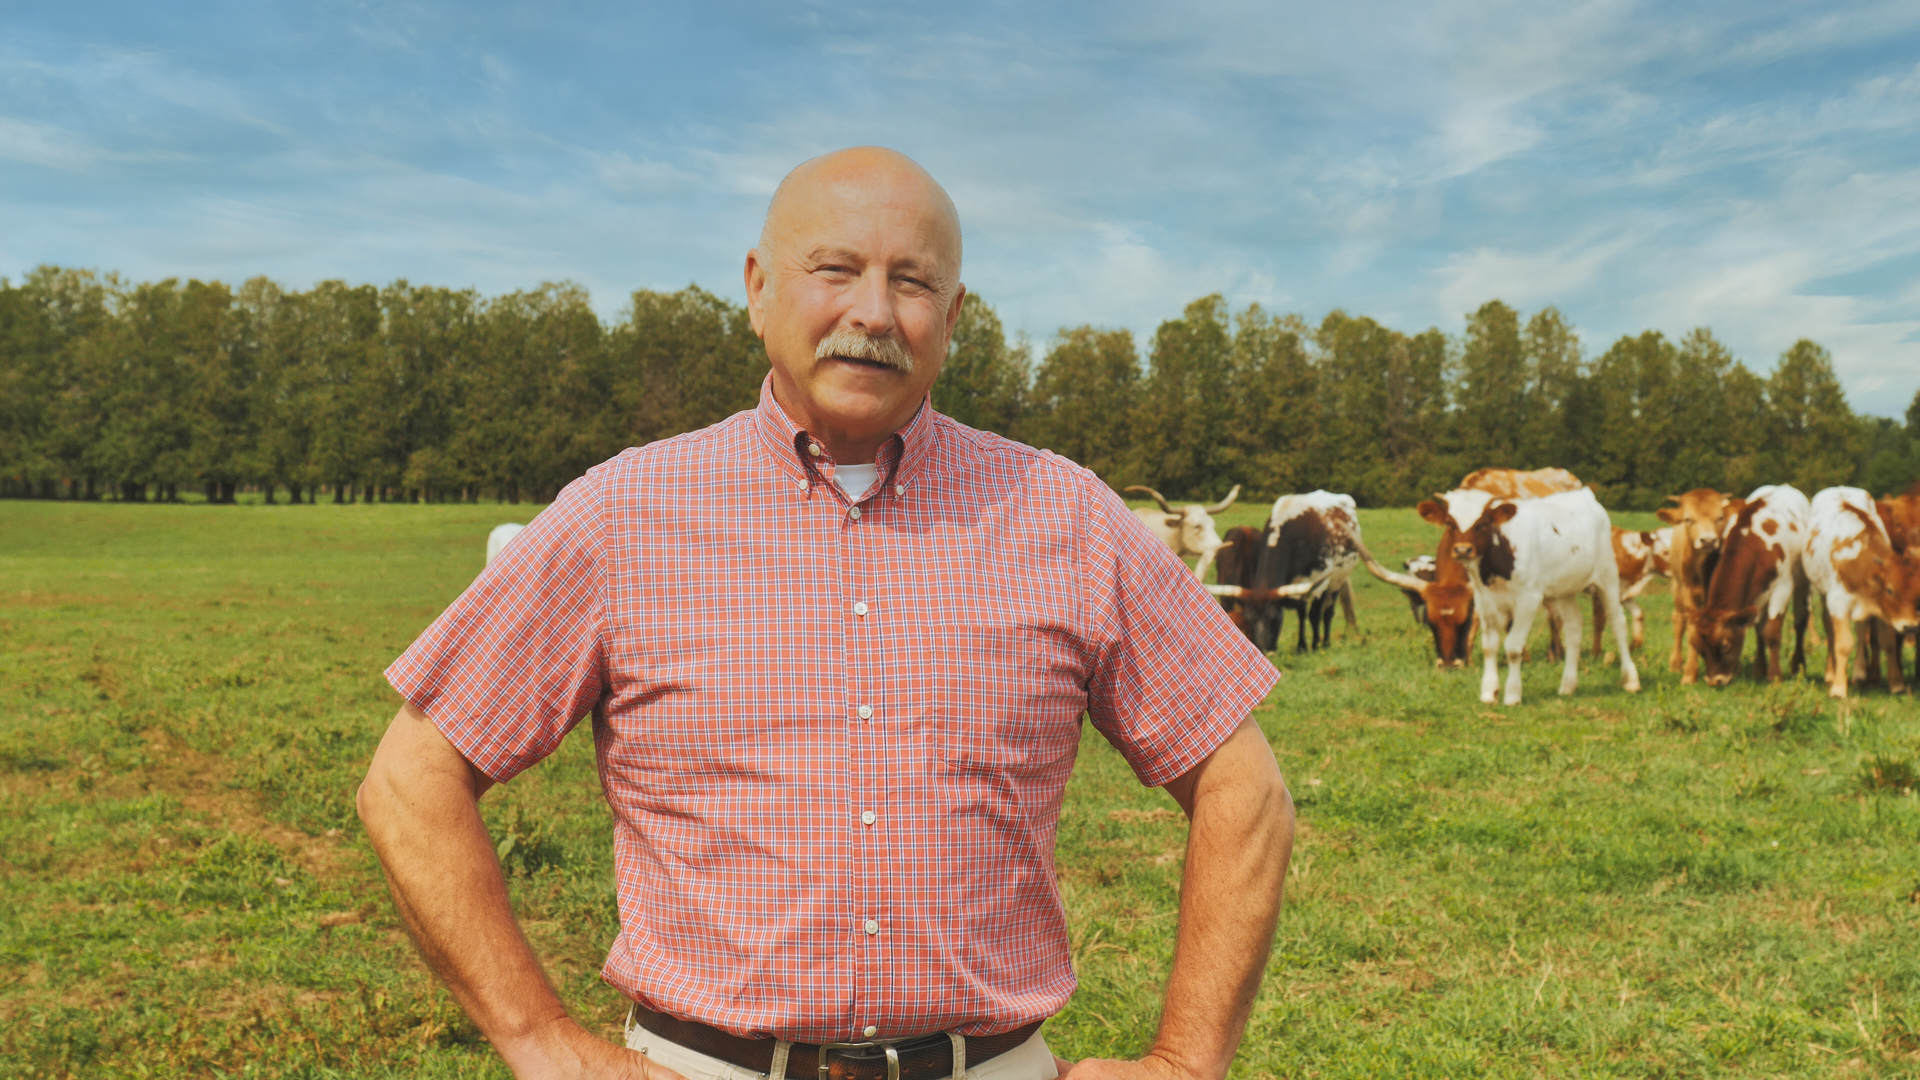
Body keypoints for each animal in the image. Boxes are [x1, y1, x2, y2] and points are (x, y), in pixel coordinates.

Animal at [1420, 484, 1643, 703]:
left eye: (1482, 523)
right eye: (1450, 523)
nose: (1463, 550)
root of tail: (1585, 493)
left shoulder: (1528, 600)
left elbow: (1513, 647)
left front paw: (1512, 694)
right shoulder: (1484, 601)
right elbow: (1489, 647)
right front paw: (1489, 692)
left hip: (1608, 577)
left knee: (1618, 623)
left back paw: (1631, 680)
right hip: (1565, 589)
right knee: (1574, 628)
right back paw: (1568, 685)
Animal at [1651, 488, 1743, 680]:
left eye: (1720, 517)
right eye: (1688, 519)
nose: (1708, 540)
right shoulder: (1687, 593)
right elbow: (1692, 626)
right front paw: (1690, 673)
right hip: (1677, 588)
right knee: (1679, 621)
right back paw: (1676, 664)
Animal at [1689, 484, 1804, 684]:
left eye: (1725, 645)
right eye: (1699, 647)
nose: (1715, 681)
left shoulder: (1782, 588)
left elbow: (1772, 633)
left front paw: (1775, 676)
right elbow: (1759, 630)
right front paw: (1759, 670)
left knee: (1801, 622)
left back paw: (1798, 665)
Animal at [1804, 484, 1912, 691]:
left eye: (1915, 593)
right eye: (1890, 590)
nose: (1909, 626)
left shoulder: (1882, 606)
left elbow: (1887, 641)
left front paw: (1896, 683)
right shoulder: (1837, 603)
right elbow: (1843, 643)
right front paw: (1839, 688)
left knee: (1862, 630)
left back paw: (1860, 671)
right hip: (1822, 592)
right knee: (1830, 630)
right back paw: (1831, 673)